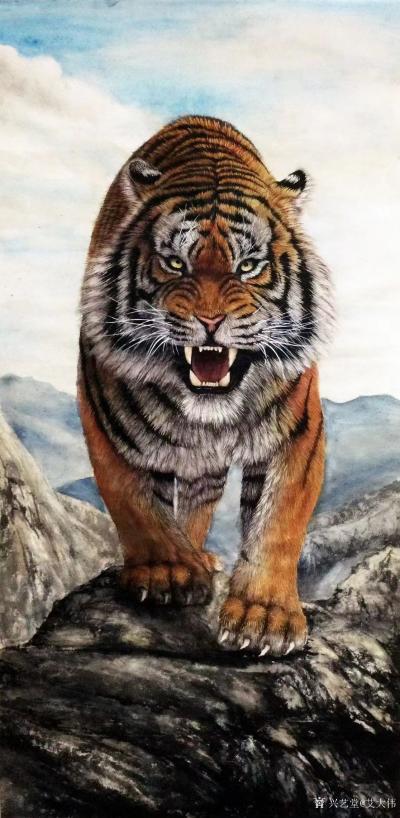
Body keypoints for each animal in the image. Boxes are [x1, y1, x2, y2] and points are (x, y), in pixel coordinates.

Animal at [78, 115, 334, 657]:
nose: (211, 321)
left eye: (248, 266)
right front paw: (168, 571)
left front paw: (265, 617)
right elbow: (132, 499)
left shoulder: (298, 431)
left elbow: (279, 521)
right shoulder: (102, 412)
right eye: (176, 264)